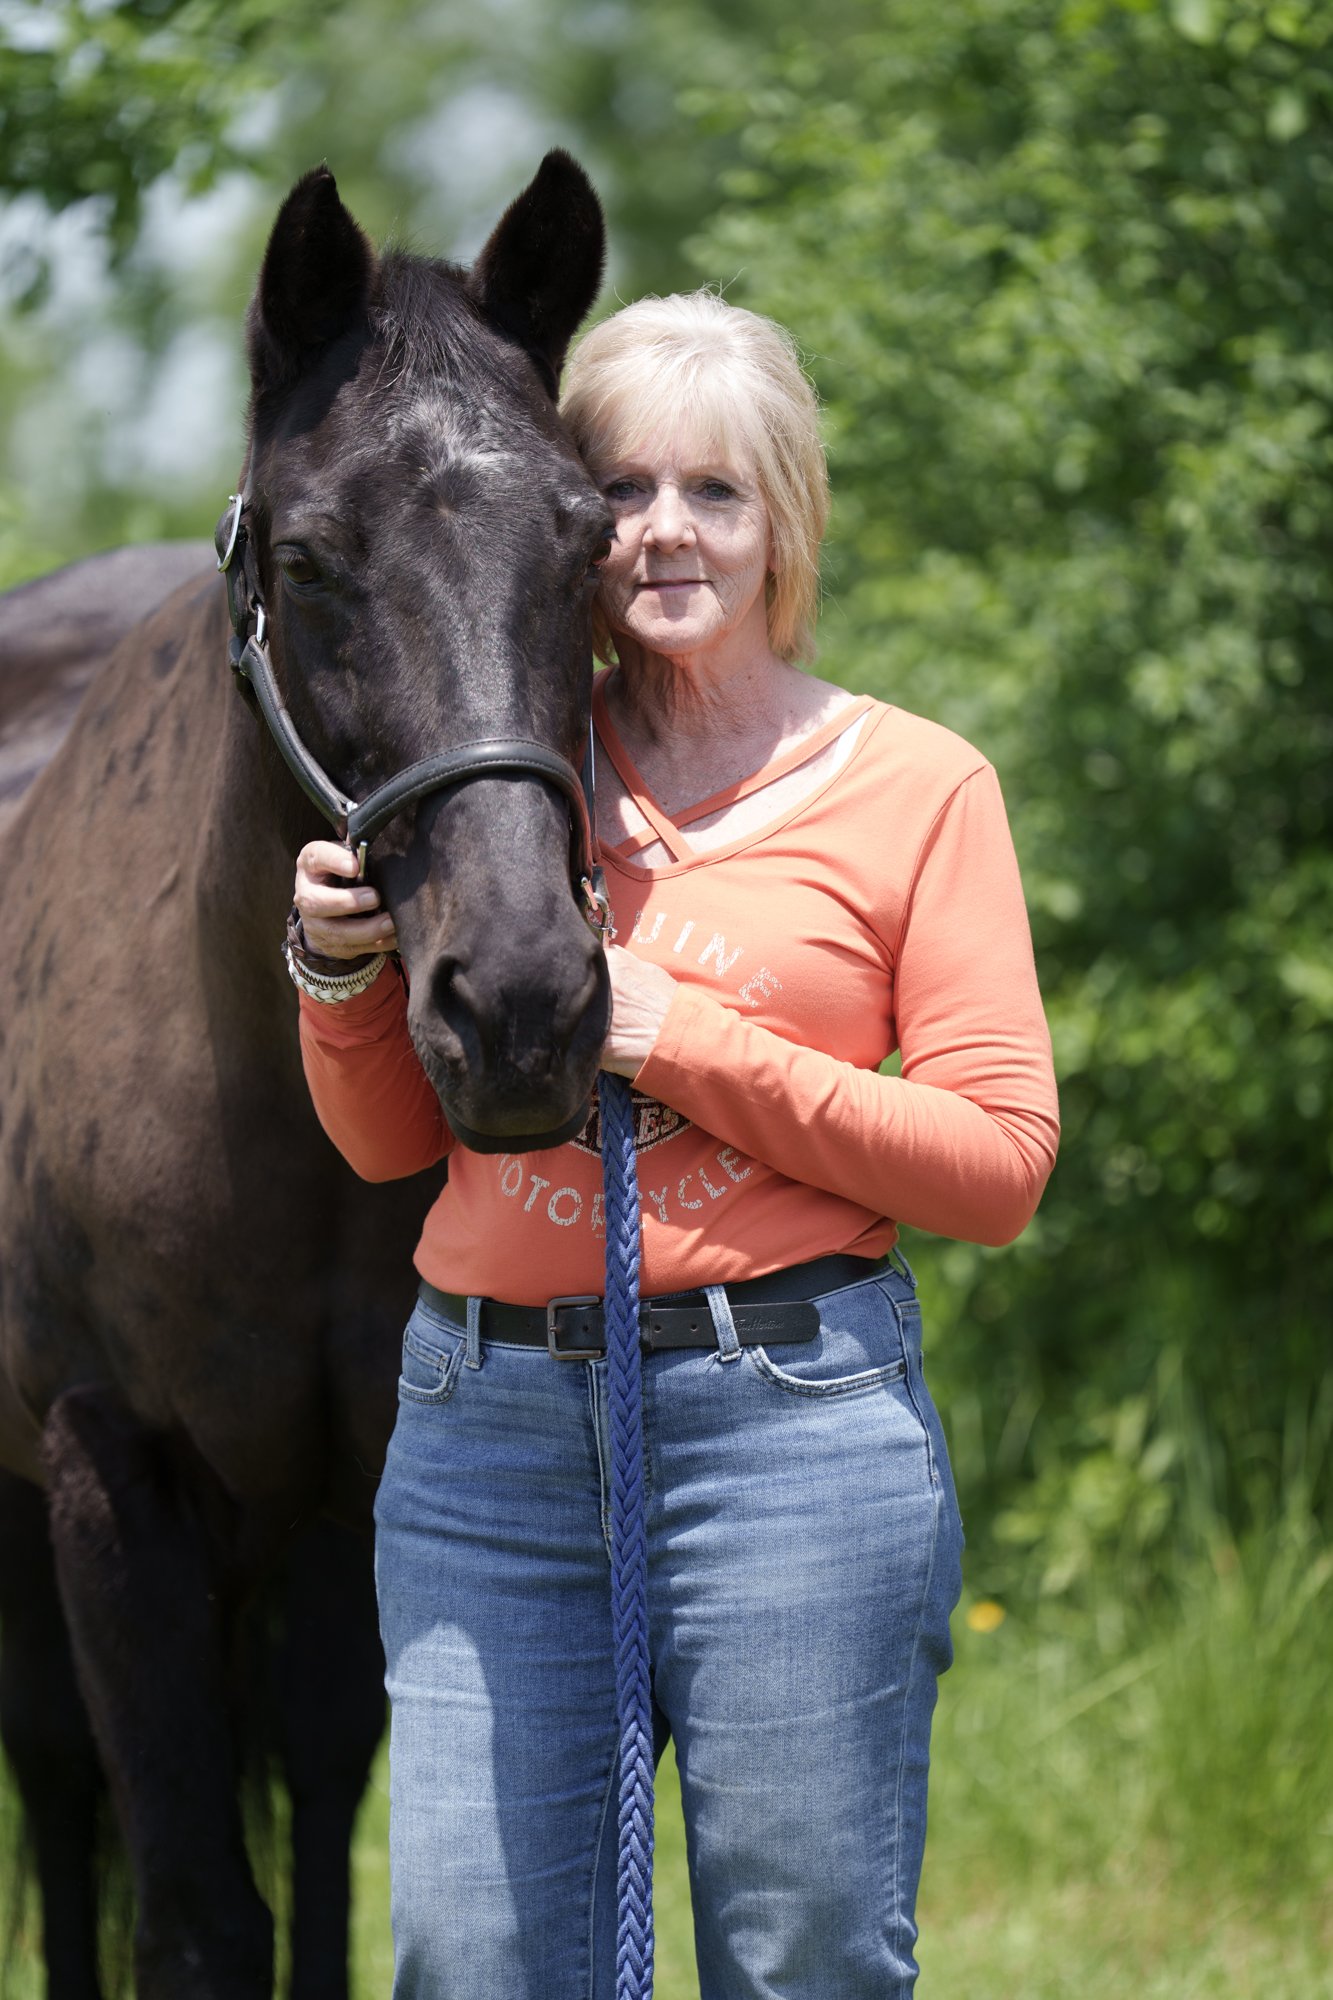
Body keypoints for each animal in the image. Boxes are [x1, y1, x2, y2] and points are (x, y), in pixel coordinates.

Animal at [0, 149, 612, 1998]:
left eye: (592, 537)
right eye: (308, 554)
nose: (521, 1005)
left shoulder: (371, 1491)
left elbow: (341, 1831)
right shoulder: (108, 1478)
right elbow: (195, 1908)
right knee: (55, 1781)